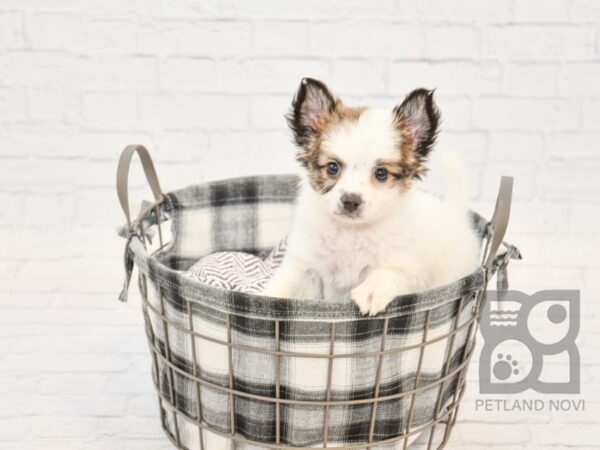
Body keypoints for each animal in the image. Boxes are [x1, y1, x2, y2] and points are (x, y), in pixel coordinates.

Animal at [262, 78, 478, 316]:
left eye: (381, 174)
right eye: (332, 168)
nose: (350, 201)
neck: (351, 233)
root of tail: (455, 213)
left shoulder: (409, 265)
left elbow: (389, 272)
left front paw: (371, 291)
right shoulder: (305, 267)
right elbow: (284, 287)